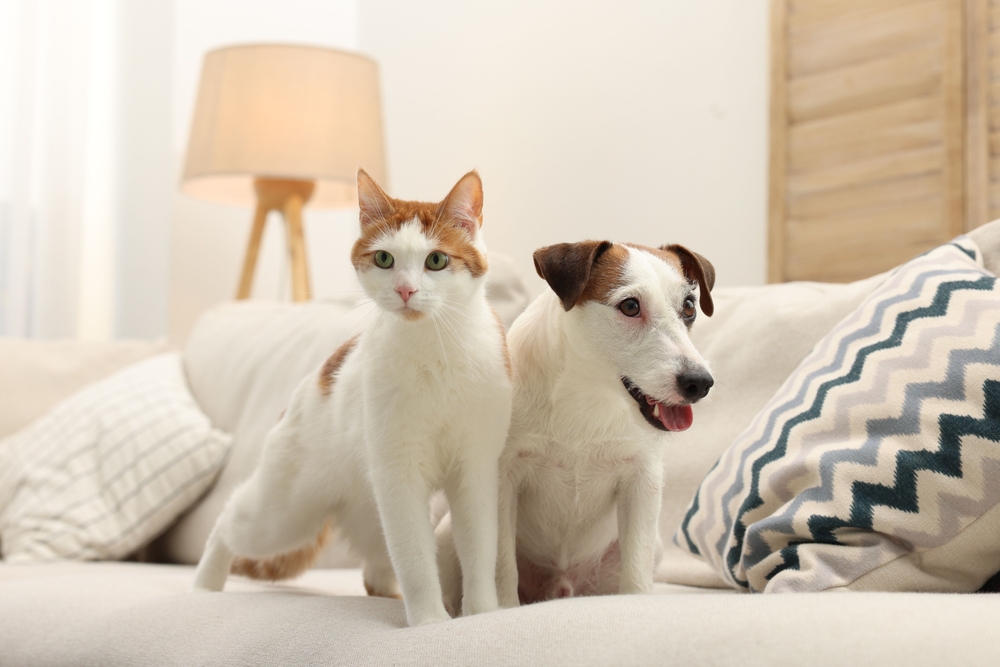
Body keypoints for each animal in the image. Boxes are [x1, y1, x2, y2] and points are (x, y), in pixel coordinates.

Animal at [193, 167, 516, 628]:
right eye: (384, 259)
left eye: (436, 260)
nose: (405, 290)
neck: (434, 351)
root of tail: (308, 385)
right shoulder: (398, 474)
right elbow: (415, 557)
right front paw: (429, 622)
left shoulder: (476, 467)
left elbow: (479, 547)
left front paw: (481, 612)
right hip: (282, 513)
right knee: (229, 520)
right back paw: (204, 585)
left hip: (365, 509)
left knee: (376, 567)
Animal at [442, 240, 716, 612]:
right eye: (630, 306)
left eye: (688, 307)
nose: (699, 382)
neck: (586, 390)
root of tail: (561, 586)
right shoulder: (502, 477)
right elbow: (501, 563)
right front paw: (504, 607)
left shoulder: (641, 480)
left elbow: (637, 563)